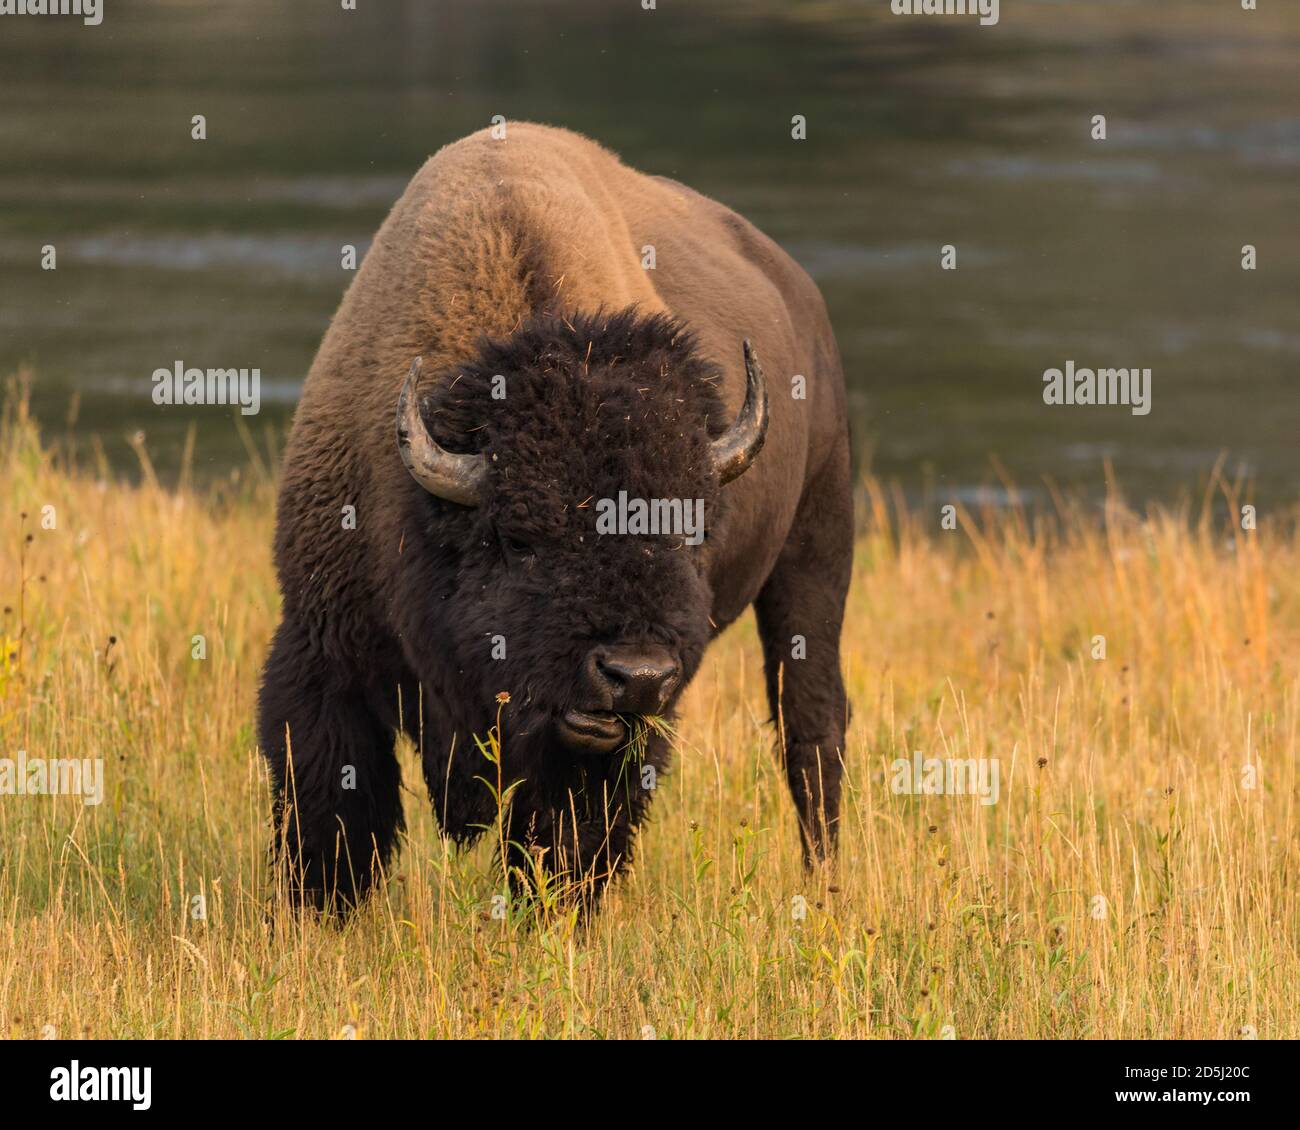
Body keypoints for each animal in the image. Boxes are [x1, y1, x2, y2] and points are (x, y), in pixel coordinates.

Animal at [262, 123, 852, 910]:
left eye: (690, 532)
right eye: (519, 539)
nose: (635, 676)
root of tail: (802, 295)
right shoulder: (321, 654)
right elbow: (333, 811)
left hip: (816, 553)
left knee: (811, 733)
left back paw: (825, 885)